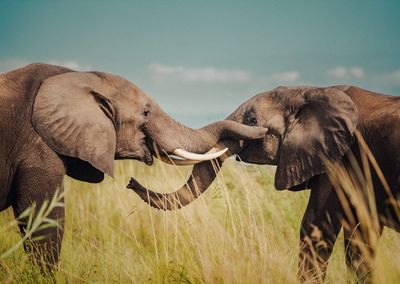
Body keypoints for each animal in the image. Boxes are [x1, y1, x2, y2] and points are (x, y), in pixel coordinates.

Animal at [130, 86, 400, 282]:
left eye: (251, 119)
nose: (130, 182)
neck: (313, 91)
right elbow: (360, 238)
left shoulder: (340, 159)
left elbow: (316, 227)